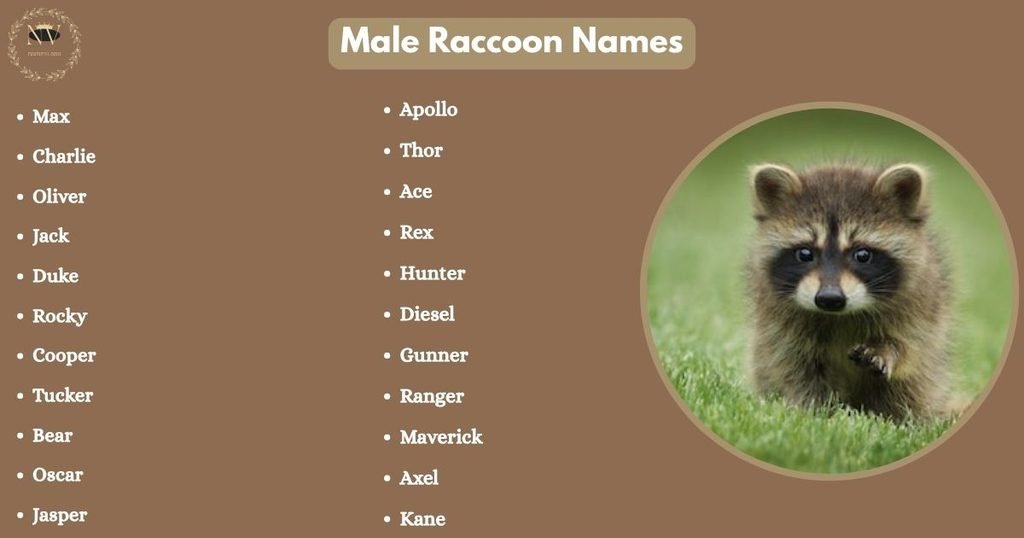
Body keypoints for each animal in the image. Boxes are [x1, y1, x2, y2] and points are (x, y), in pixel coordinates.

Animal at [746, 162, 953, 419]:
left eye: (862, 254)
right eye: (805, 253)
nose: (829, 298)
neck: (839, 316)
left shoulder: (921, 304)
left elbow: (911, 344)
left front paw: (887, 349)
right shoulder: (778, 323)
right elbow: (795, 366)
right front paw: (816, 411)